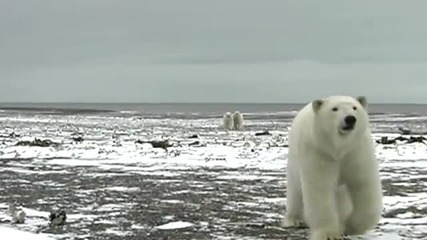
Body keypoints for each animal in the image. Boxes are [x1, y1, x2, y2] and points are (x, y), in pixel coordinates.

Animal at [284, 95, 384, 240]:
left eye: (355, 107)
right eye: (334, 109)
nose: (350, 119)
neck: (338, 149)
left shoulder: (356, 152)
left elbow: (363, 184)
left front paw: (349, 226)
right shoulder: (319, 153)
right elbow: (320, 189)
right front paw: (328, 234)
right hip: (295, 160)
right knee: (295, 191)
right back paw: (294, 220)